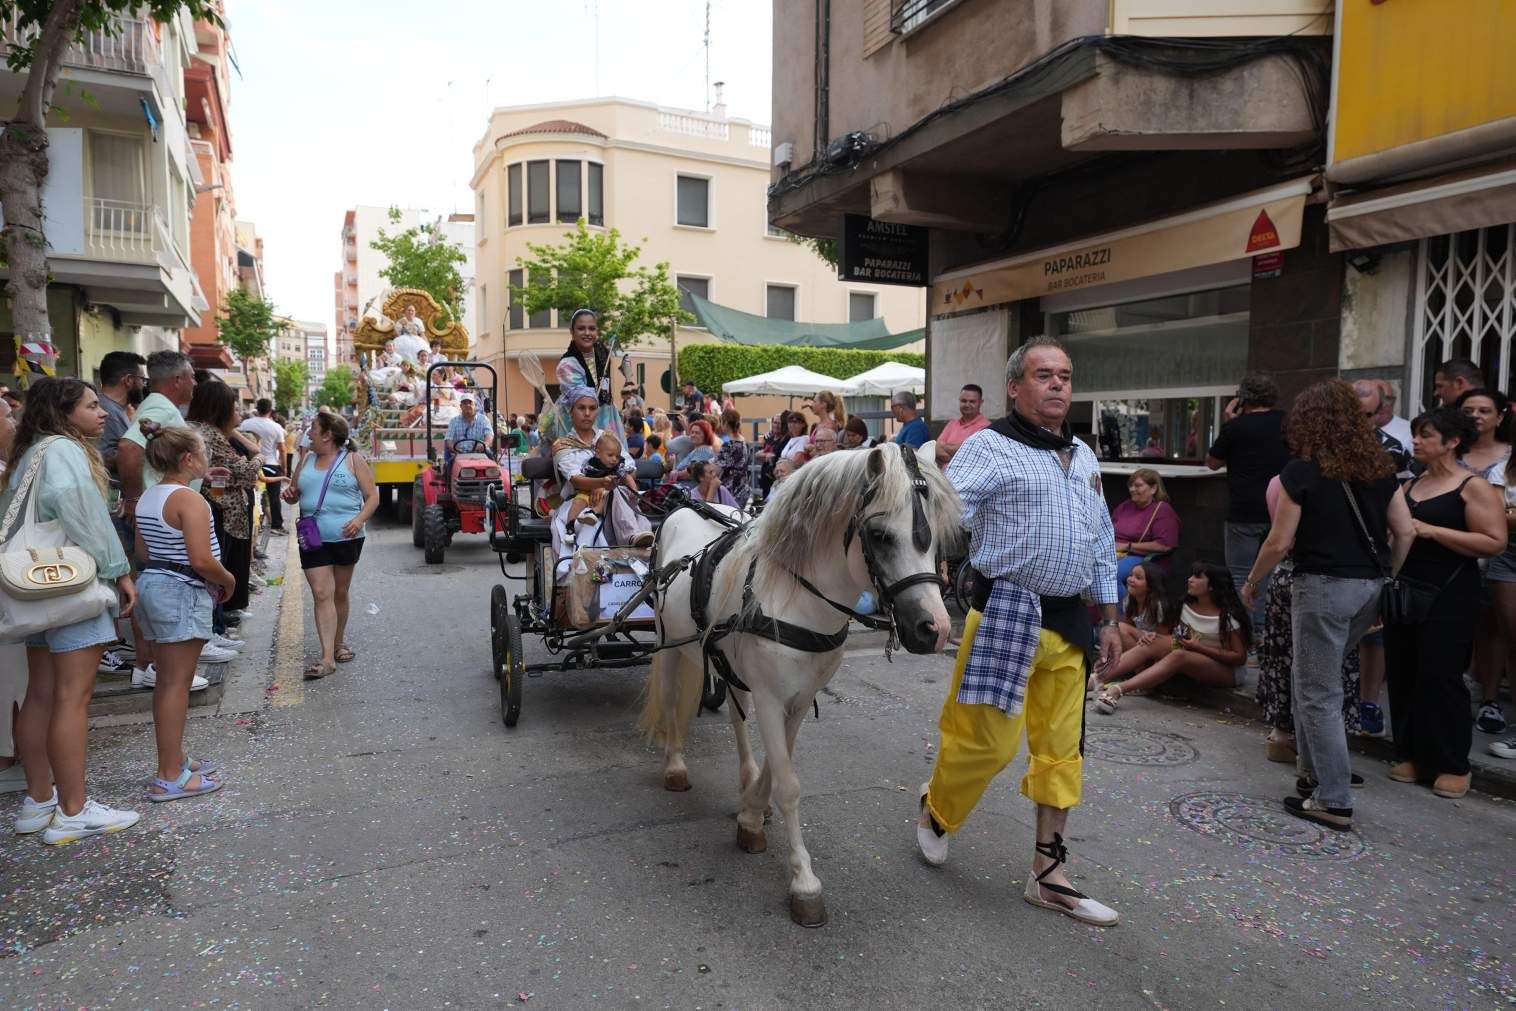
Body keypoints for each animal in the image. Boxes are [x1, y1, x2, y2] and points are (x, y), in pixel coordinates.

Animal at [639, 442, 958, 927]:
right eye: (880, 535)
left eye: (935, 537)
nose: (934, 630)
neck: (798, 600)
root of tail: (682, 507)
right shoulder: (773, 698)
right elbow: (789, 784)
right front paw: (804, 882)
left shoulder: (799, 698)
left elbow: (780, 764)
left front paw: (752, 812)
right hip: (668, 642)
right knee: (674, 697)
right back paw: (675, 765)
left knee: (737, 715)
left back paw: (746, 778)